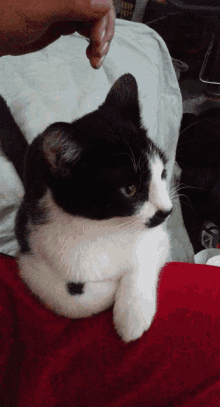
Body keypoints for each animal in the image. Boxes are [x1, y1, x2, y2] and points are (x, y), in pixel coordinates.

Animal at [0, 75, 172, 342]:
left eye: (162, 173)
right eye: (130, 189)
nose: (167, 211)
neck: (103, 228)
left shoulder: (158, 236)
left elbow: (144, 257)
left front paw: (132, 316)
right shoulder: (30, 255)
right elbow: (70, 301)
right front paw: (107, 290)